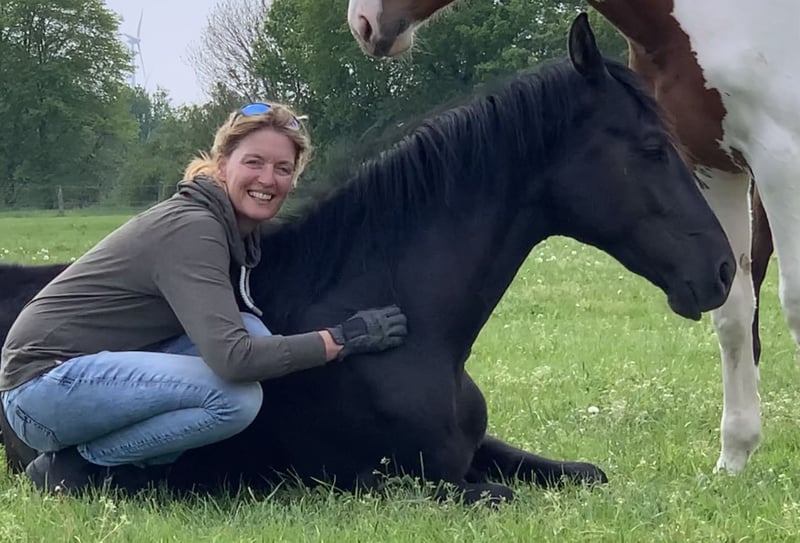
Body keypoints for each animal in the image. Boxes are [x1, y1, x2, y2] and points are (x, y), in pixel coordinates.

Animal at [0, 15, 735, 502]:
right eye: (650, 147)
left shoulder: (477, 452)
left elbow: (587, 475)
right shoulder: (399, 482)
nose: (724, 270)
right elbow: (503, 494)